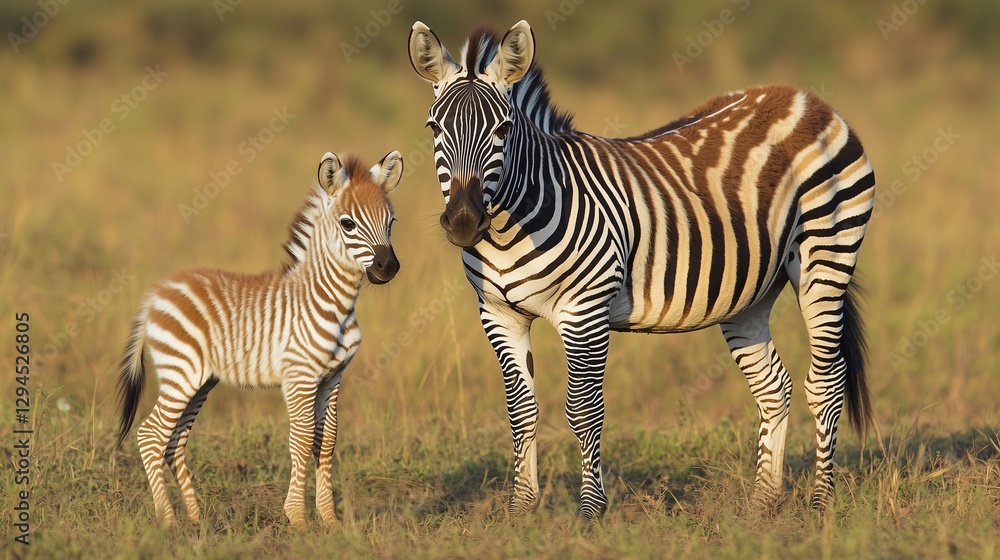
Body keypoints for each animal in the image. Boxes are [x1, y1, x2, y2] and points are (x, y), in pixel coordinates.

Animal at [115, 150, 403, 527]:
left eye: (391, 222)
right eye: (347, 224)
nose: (388, 267)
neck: (334, 303)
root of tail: (155, 294)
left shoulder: (333, 377)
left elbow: (326, 440)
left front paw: (330, 519)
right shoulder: (299, 377)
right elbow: (301, 439)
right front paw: (297, 517)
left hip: (201, 381)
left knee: (174, 440)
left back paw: (196, 519)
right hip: (181, 372)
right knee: (151, 436)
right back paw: (168, 520)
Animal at [408, 20, 875, 519]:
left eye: (503, 128)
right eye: (434, 127)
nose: (463, 221)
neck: (506, 230)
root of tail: (804, 98)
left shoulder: (584, 310)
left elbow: (584, 410)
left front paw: (590, 511)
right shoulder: (498, 314)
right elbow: (521, 410)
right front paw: (520, 509)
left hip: (826, 256)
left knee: (826, 382)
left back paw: (821, 503)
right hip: (749, 293)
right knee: (774, 387)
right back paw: (761, 504)